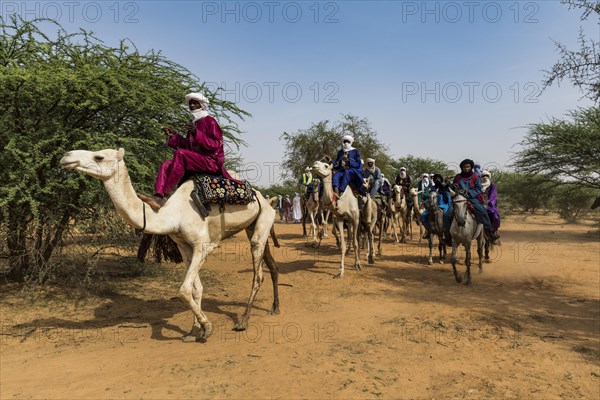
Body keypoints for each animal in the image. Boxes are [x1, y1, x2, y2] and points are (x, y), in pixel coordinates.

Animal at [59, 148, 280, 342]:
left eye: (99, 156)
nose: (66, 156)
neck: (173, 215)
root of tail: (265, 199)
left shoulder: (203, 245)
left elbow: (184, 289)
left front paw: (206, 327)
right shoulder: (185, 247)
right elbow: (196, 288)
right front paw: (193, 331)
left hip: (262, 224)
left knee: (258, 273)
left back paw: (243, 321)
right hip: (255, 225)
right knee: (271, 264)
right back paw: (275, 307)